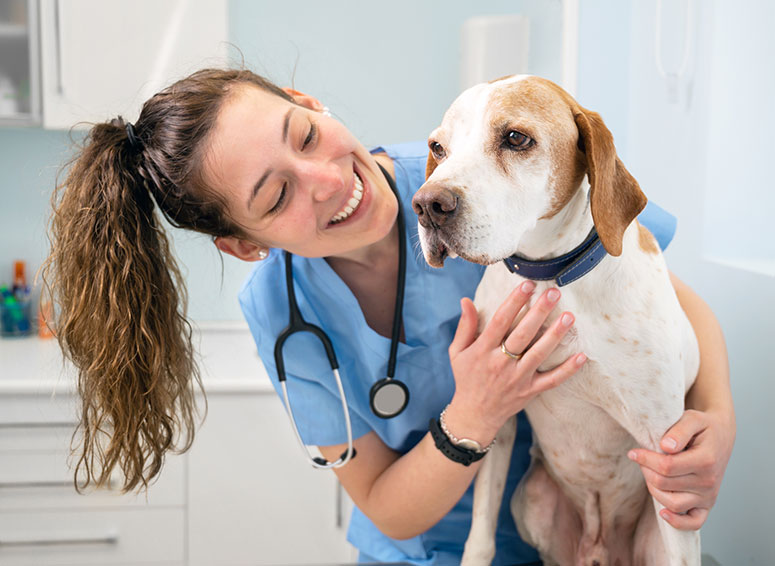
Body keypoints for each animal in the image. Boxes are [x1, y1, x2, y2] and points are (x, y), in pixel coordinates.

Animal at [412, 76, 704, 566]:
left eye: (515, 138)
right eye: (438, 147)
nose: (428, 204)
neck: (551, 276)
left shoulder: (666, 452)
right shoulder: (497, 420)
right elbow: (481, 535)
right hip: (531, 499)